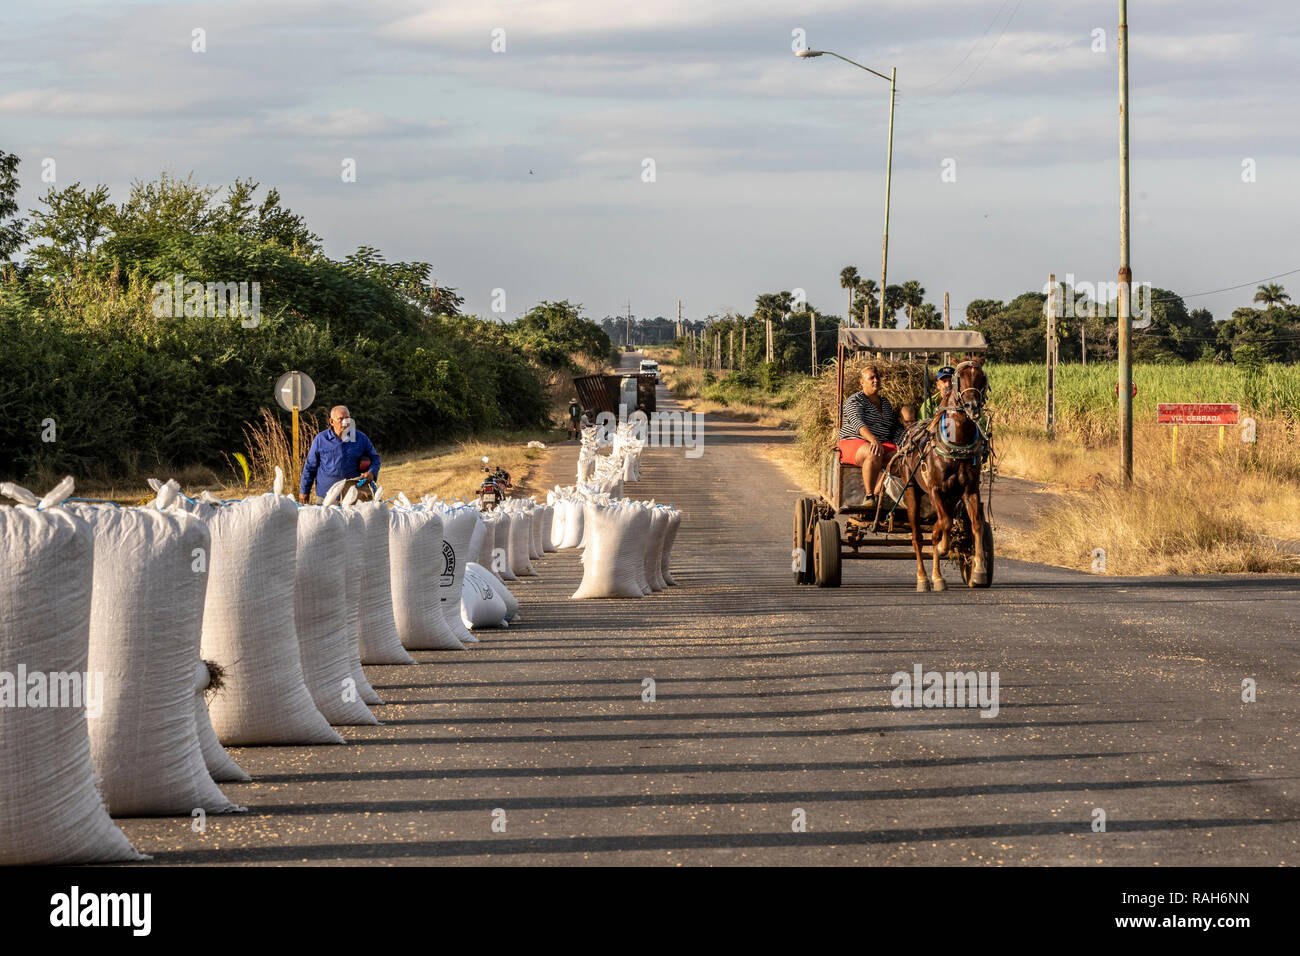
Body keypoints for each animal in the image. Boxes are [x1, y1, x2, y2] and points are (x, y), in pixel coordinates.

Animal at [894, 361, 982, 590]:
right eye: (960, 378)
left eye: (982, 376)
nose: (972, 407)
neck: (956, 443)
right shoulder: (935, 490)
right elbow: (945, 524)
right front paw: (942, 545)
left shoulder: (969, 491)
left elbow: (975, 525)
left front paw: (979, 571)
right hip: (912, 490)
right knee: (917, 536)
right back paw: (924, 578)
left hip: (950, 497)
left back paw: (938, 576)